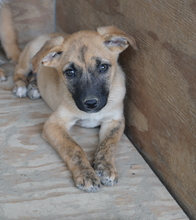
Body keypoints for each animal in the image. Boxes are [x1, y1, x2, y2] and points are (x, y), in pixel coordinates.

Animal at [13, 26, 138, 192]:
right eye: (70, 72)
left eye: (103, 67)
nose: (91, 103)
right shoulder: (54, 124)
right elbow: (73, 148)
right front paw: (86, 174)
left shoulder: (115, 121)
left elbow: (108, 144)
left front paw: (105, 167)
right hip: (29, 57)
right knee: (20, 70)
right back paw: (21, 86)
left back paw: (34, 87)